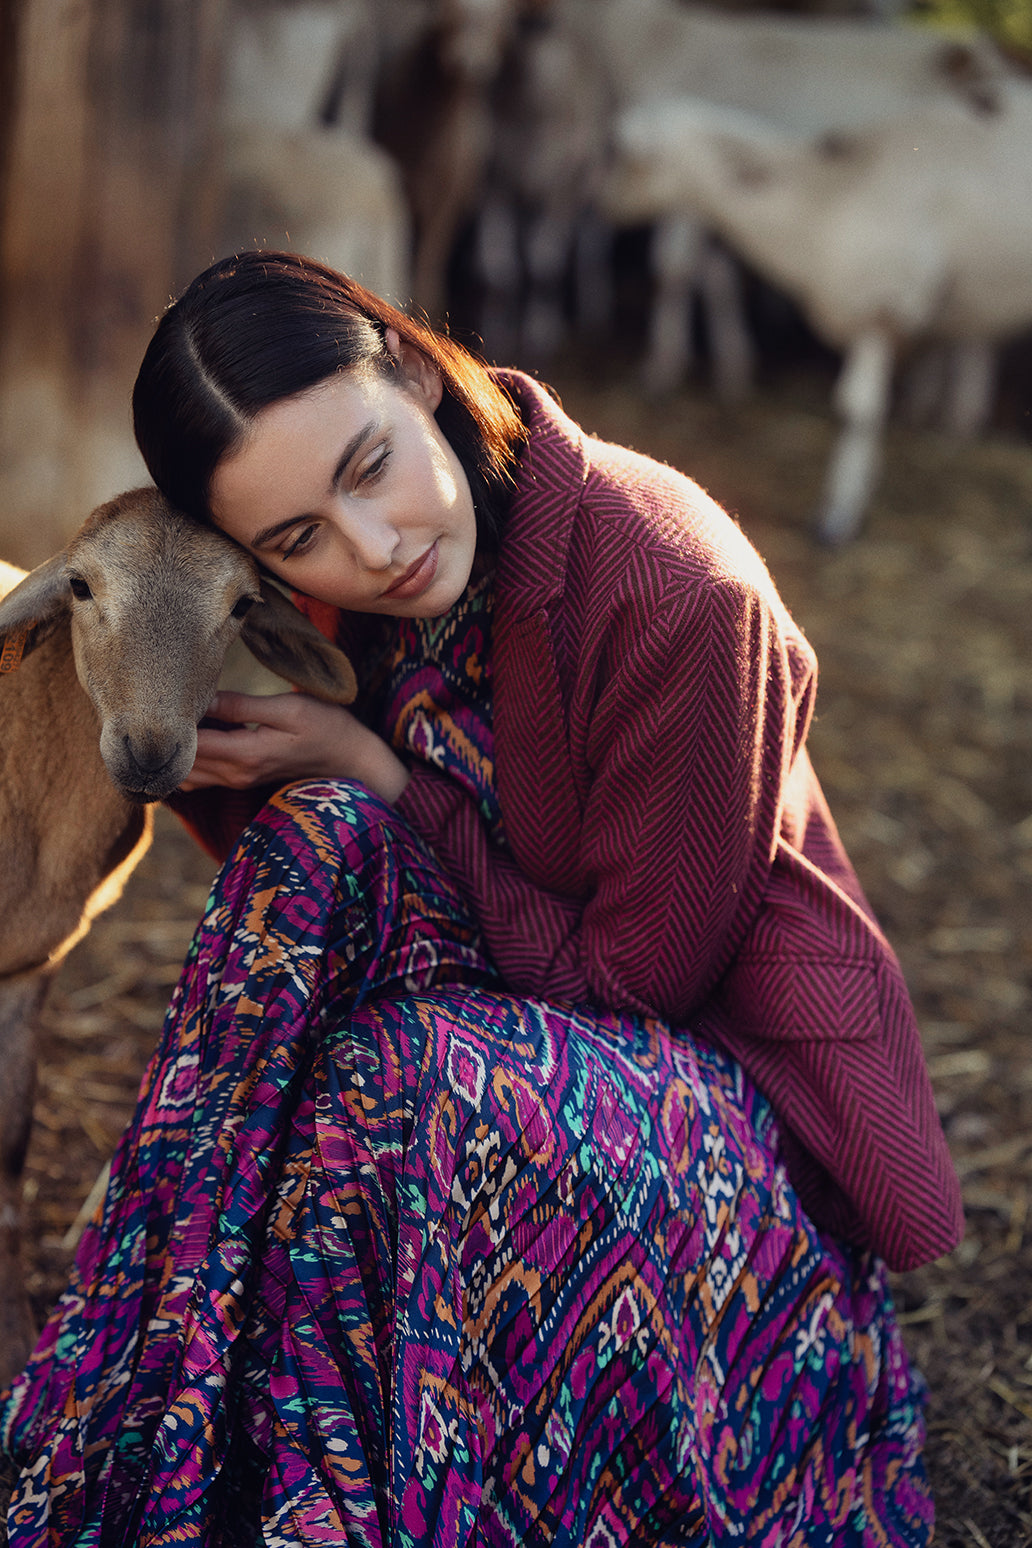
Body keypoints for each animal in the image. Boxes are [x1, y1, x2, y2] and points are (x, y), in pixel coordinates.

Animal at [0, 489, 357, 1387]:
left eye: (242, 606)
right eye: (80, 586)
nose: (150, 751)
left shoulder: (31, 971)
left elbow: (11, 1158)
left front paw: (14, 1344)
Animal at [606, 86, 1032, 544]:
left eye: (618, 152)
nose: (598, 201)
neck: (822, 200)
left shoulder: (879, 307)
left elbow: (857, 410)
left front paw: (838, 516)